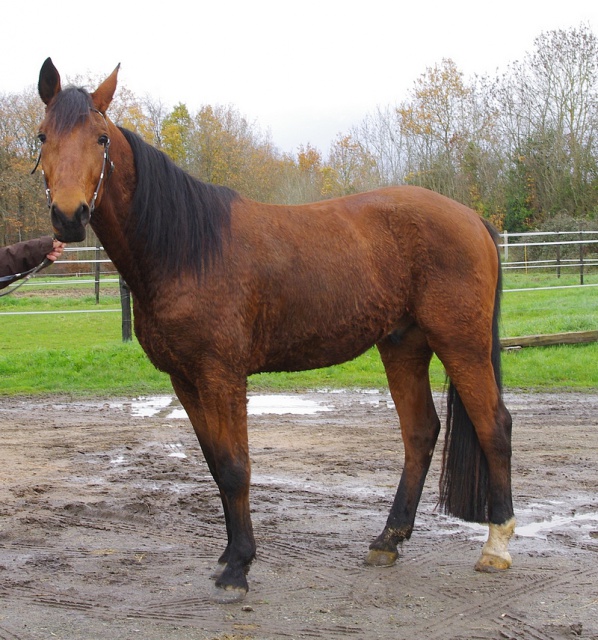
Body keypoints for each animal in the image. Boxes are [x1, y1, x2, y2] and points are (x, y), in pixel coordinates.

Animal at [35, 58, 516, 600]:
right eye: (42, 137)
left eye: (100, 138)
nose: (69, 216)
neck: (186, 249)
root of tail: (472, 219)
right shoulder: (185, 380)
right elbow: (216, 466)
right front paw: (229, 556)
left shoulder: (222, 375)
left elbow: (236, 467)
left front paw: (239, 567)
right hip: (402, 345)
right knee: (420, 433)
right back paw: (388, 540)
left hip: (461, 343)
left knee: (493, 426)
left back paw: (496, 546)